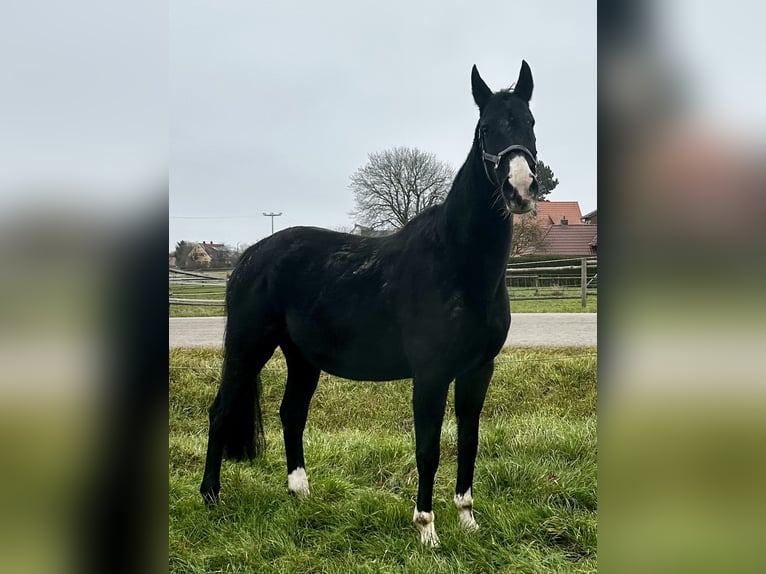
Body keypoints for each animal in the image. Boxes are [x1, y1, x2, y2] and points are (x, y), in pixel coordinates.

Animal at [202, 60, 540, 548]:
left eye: (529, 122)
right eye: (485, 128)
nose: (520, 188)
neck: (457, 263)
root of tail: (252, 255)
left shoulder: (478, 370)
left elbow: (469, 441)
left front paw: (468, 520)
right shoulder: (431, 374)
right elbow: (428, 447)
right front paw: (427, 530)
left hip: (301, 357)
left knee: (292, 414)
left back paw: (300, 493)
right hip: (249, 347)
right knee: (221, 411)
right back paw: (211, 496)